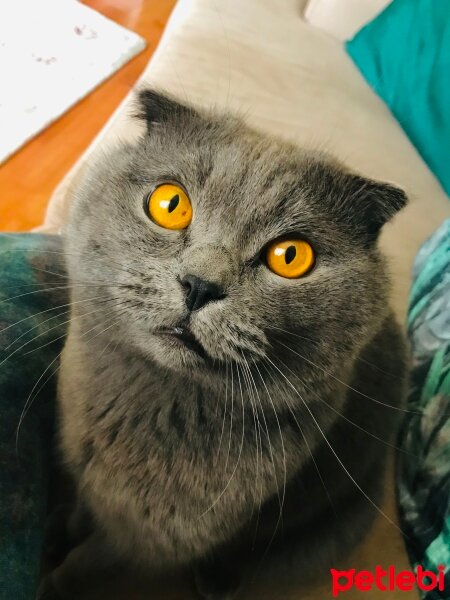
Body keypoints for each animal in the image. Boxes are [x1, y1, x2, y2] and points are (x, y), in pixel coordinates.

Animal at [38, 90, 410, 600]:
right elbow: (79, 513)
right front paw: (60, 531)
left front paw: (50, 581)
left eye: (291, 256)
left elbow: (83, 568)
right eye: (169, 204)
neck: (152, 401)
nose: (200, 285)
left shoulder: (148, 541)